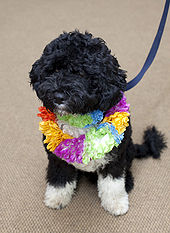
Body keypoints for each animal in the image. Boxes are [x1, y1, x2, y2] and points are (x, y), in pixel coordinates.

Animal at [29, 31, 166, 217]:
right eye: (55, 69)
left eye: (81, 73)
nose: (58, 96)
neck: (79, 119)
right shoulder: (57, 158)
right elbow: (59, 179)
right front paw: (56, 198)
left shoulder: (114, 159)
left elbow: (113, 185)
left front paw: (116, 204)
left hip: (127, 149)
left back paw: (128, 181)